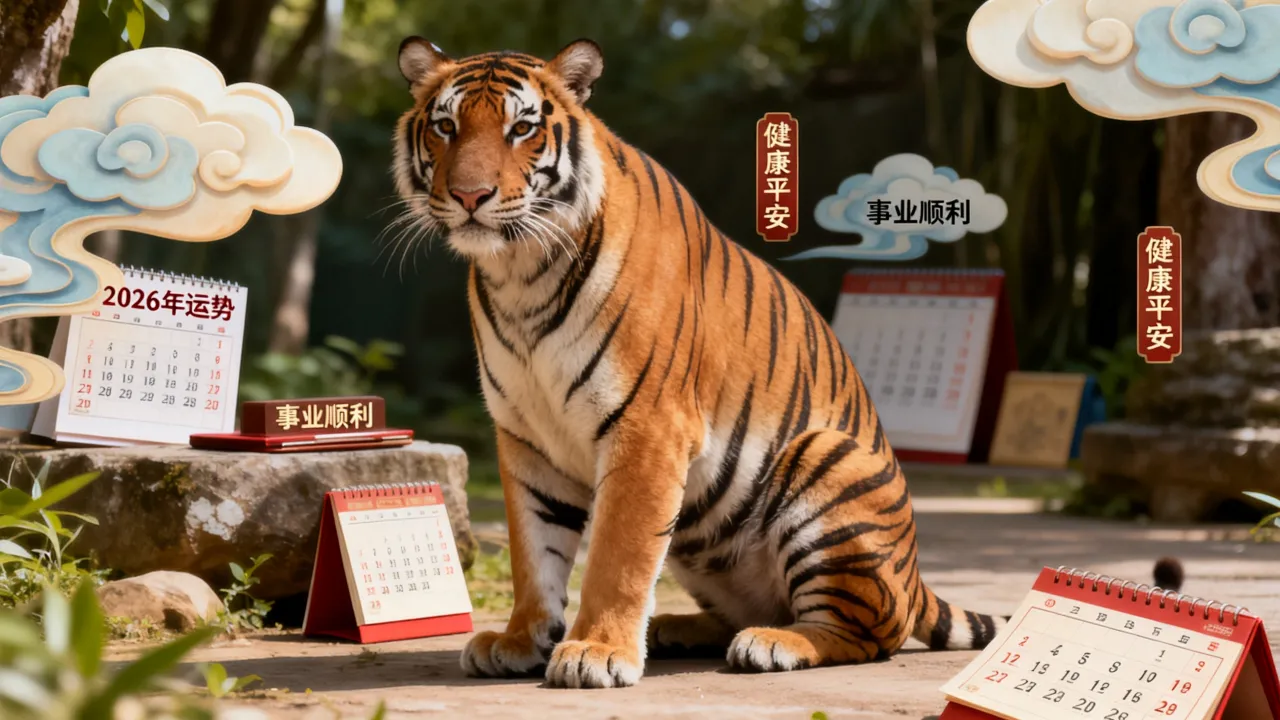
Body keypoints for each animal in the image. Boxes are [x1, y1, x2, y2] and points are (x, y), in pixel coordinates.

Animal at [392, 36, 1007, 689]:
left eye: (522, 129)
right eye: (446, 127)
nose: (470, 197)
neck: (521, 275)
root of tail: (914, 577)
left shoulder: (646, 426)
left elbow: (619, 554)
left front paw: (595, 651)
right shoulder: (526, 438)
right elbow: (535, 553)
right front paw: (517, 640)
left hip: (824, 458)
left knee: (866, 631)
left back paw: (770, 643)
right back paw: (676, 629)